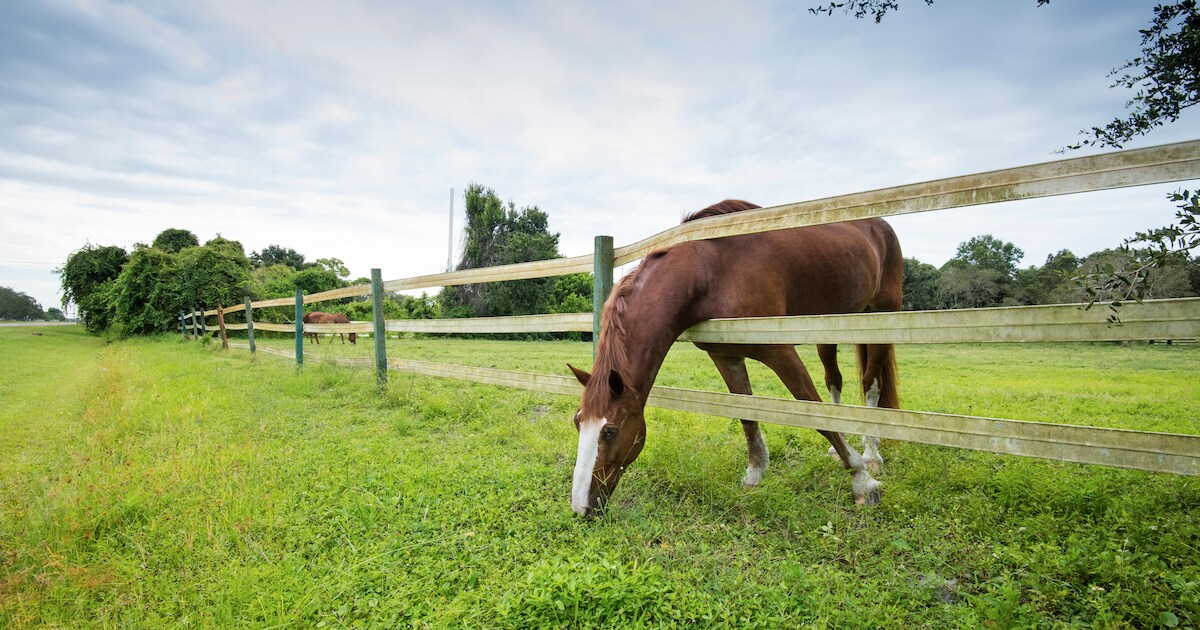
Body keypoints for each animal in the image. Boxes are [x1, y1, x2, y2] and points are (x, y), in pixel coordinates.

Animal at [568, 200, 902, 516]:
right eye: (577, 422)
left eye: (610, 431)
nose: (581, 508)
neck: (711, 271)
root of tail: (879, 225)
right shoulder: (726, 356)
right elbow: (747, 413)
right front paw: (755, 473)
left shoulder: (780, 351)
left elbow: (814, 412)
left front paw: (862, 480)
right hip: (831, 325)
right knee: (835, 380)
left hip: (883, 314)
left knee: (871, 384)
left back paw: (871, 454)